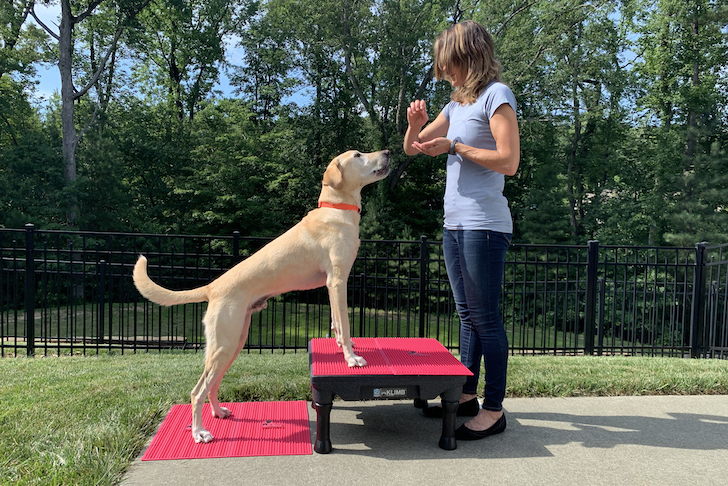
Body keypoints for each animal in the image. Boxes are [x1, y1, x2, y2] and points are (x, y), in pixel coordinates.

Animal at [133, 150, 390, 442]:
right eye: (358, 155)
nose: (387, 152)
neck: (336, 209)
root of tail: (213, 287)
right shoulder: (337, 281)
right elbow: (345, 325)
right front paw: (351, 358)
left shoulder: (330, 285)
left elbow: (336, 323)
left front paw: (341, 346)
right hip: (225, 345)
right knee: (197, 391)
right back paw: (199, 432)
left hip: (232, 344)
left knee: (211, 384)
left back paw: (219, 412)